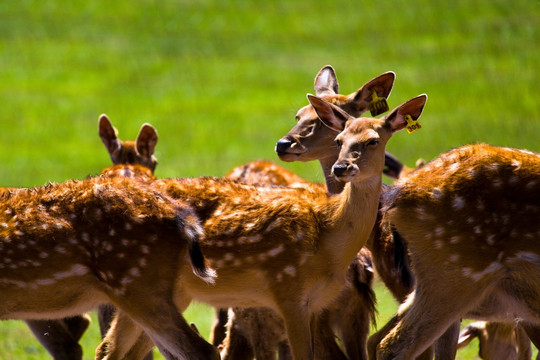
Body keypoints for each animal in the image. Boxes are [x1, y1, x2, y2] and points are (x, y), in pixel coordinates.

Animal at [95, 93, 428, 360]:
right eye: (338, 141)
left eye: (373, 140)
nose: (341, 167)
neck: (329, 236)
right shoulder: (288, 293)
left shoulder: (315, 306)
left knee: (117, 347)